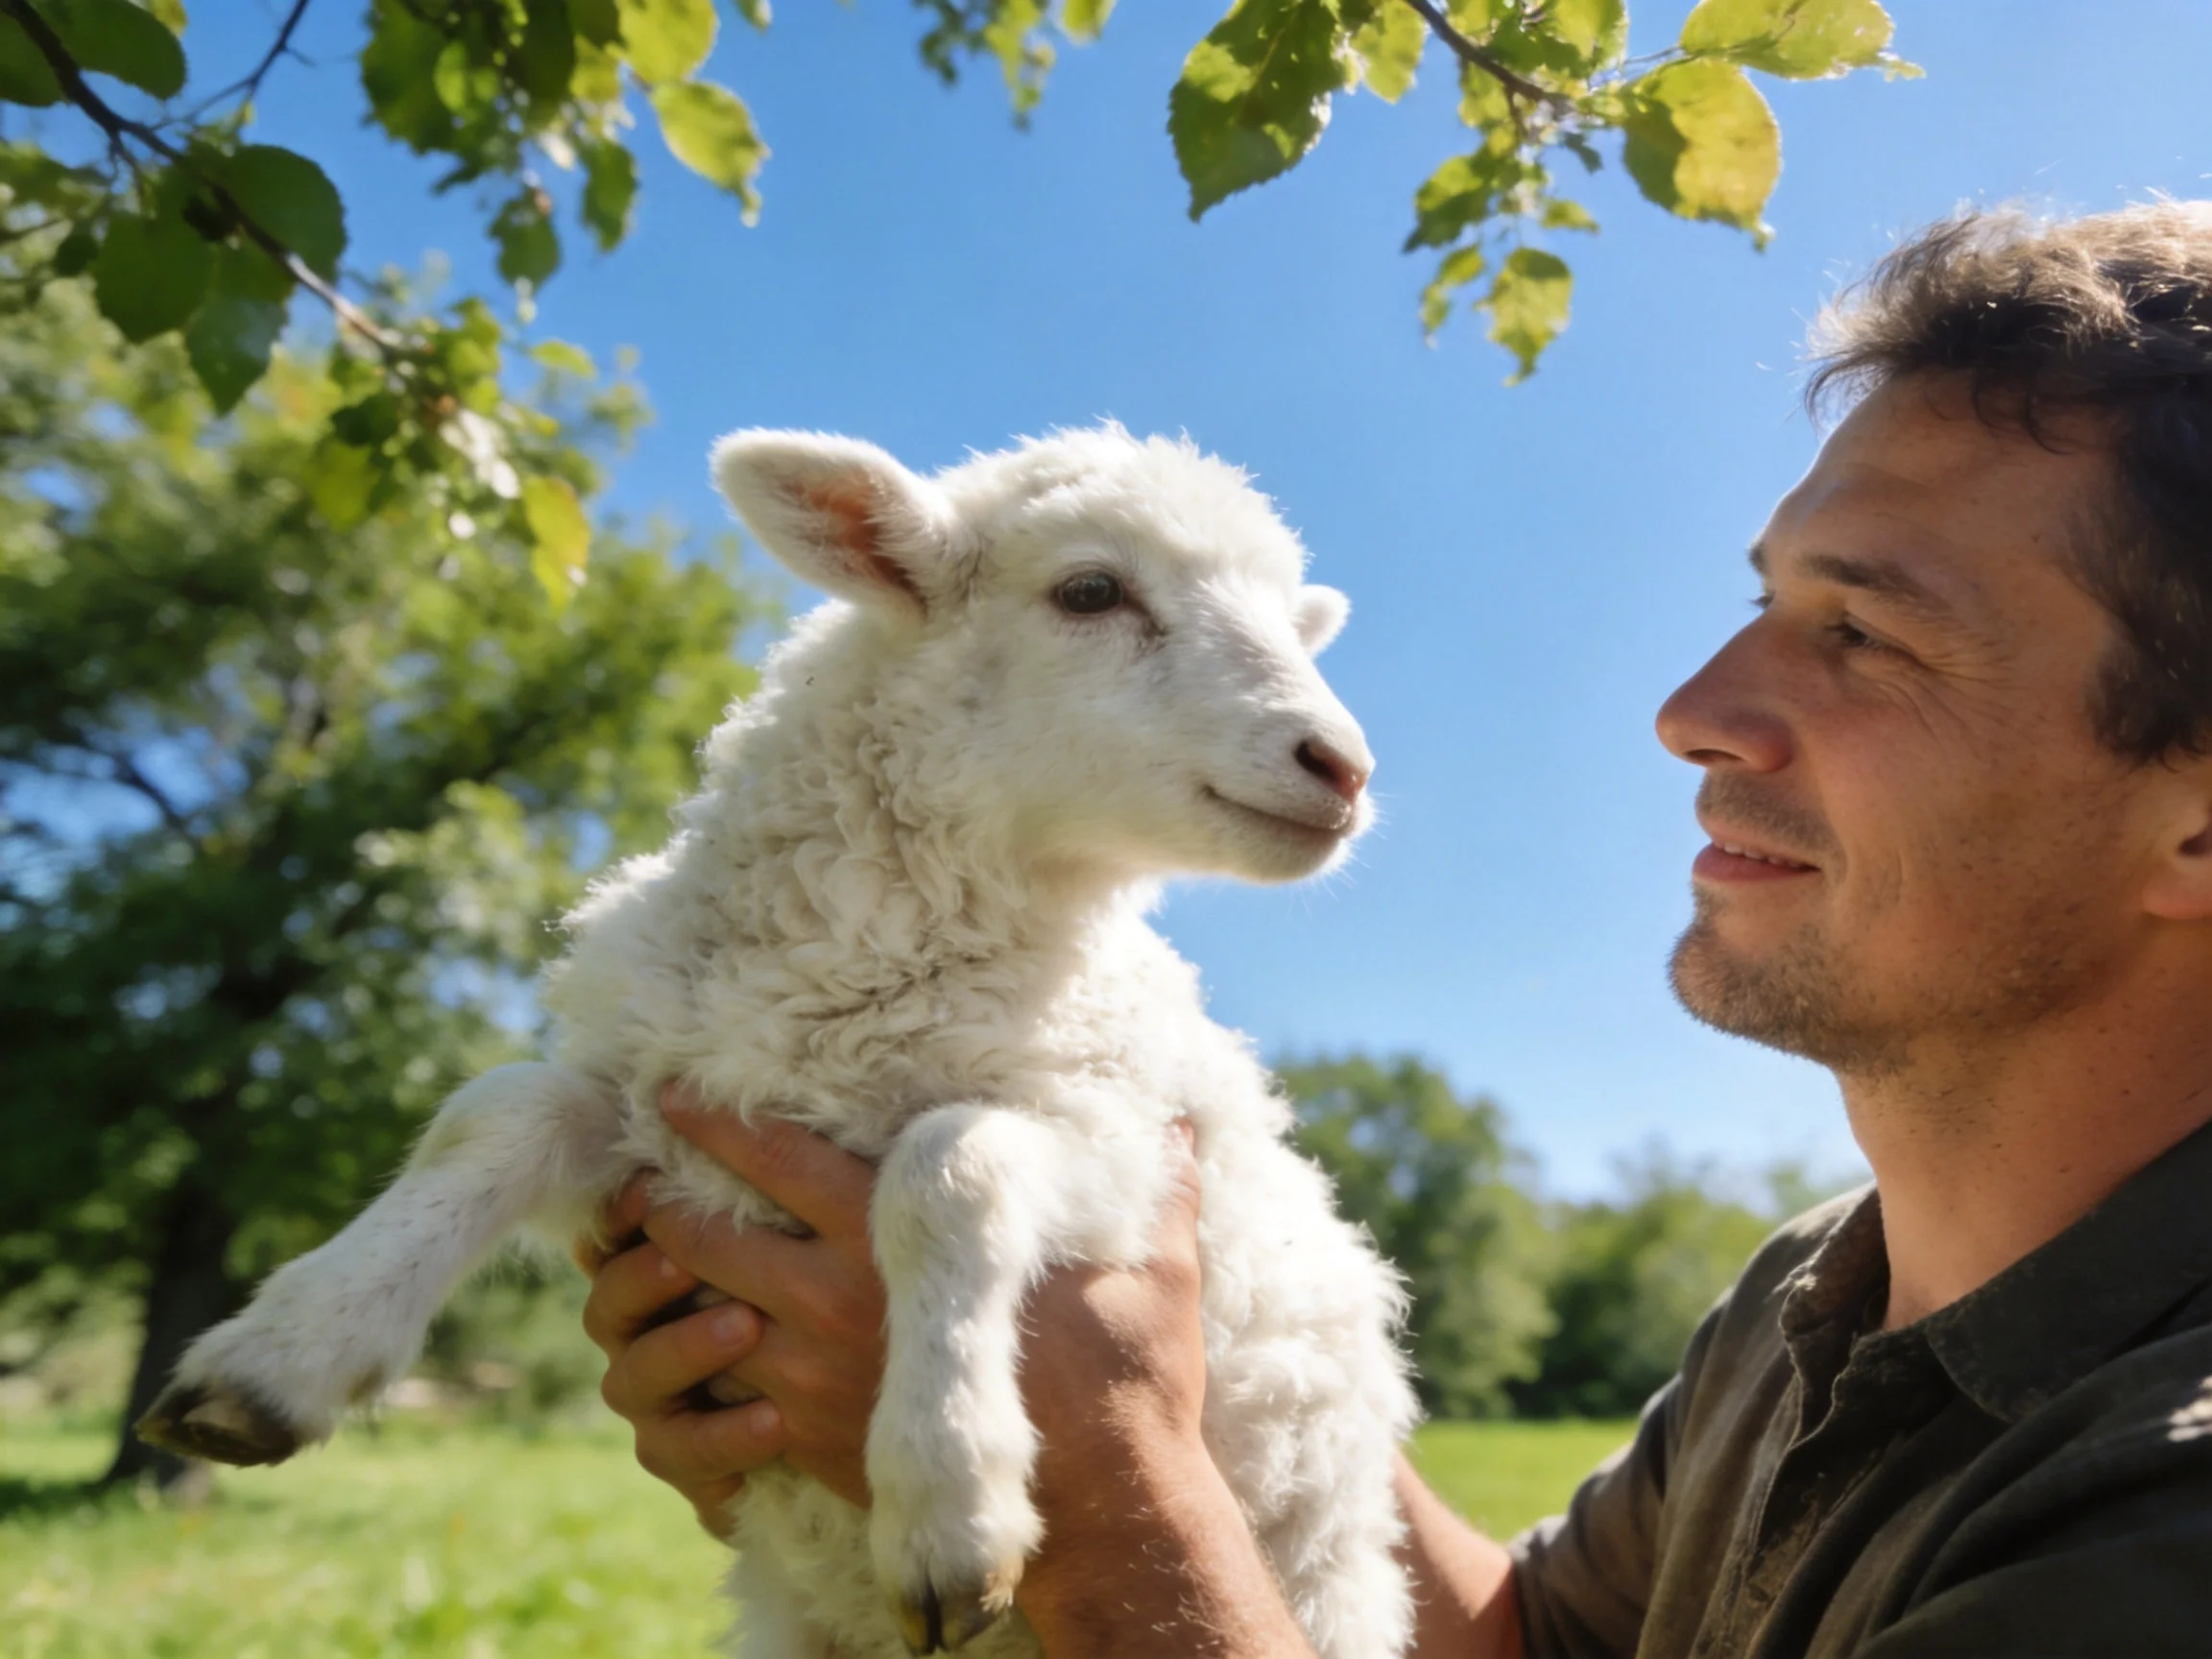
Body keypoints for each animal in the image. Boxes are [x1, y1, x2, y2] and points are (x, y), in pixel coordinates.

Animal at [137, 423, 1420, 1659]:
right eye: (1091, 590)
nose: (1344, 766)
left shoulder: (1127, 1144)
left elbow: (948, 1166)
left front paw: (949, 1501)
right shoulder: (661, 1123)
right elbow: (499, 1110)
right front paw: (282, 1354)